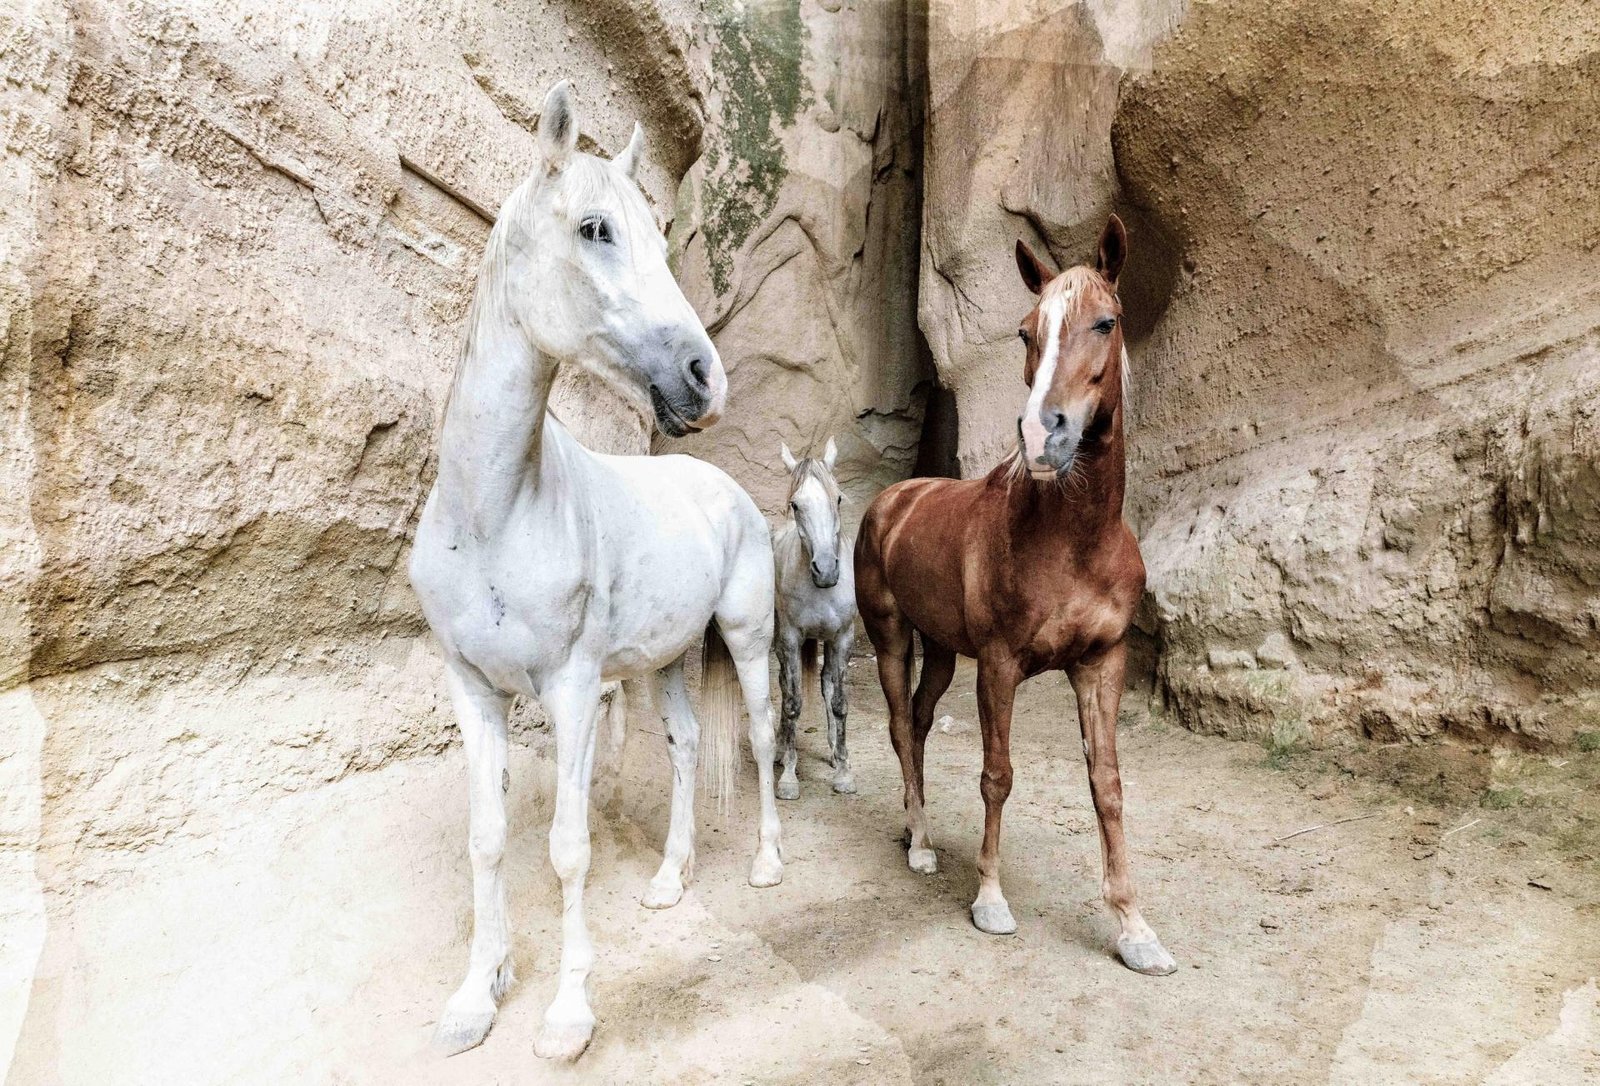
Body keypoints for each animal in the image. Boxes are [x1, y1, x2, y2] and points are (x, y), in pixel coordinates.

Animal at [408, 82, 784, 1062]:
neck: (494, 514)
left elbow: (567, 849)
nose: (704, 376)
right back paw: (670, 879)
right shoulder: (474, 688)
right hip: (667, 662)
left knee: (764, 736)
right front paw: (477, 995)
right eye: (594, 228)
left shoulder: (573, 690)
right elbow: (489, 838)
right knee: (687, 743)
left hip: (747, 642)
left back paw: (769, 862)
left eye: (657, 235)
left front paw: (568, 1015)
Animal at [853, 216, 1176, 976]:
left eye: (1106, 322)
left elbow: (1107, 786)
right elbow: (996, 775)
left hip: (942, 652)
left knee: (918, 720)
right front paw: (990, 898)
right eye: (1027, 331)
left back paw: (915, 828)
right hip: (891, 638)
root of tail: (892, 500)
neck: (1075, 541)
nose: (1039, 433)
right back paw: (920, 843)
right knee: (899, 726)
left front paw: (1134, 927)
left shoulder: (1101, 664)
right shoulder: (999, 665)